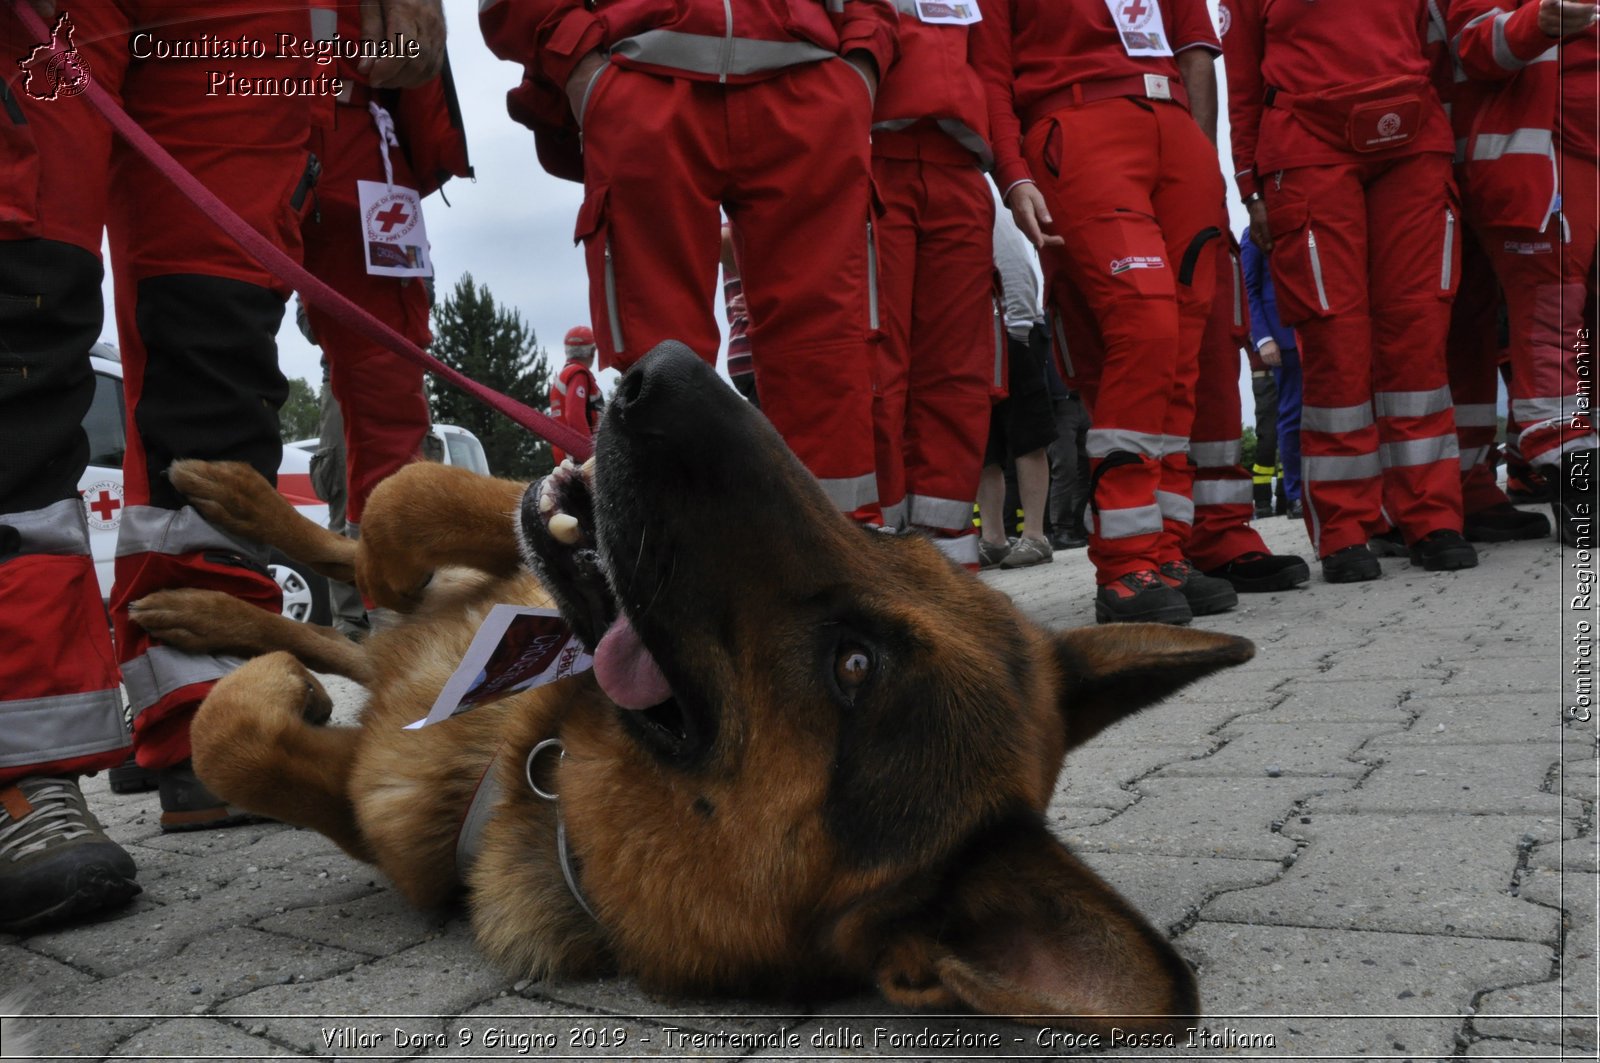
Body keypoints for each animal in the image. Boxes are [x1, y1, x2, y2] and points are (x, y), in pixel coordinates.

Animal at [134, 342, 1248, 1037]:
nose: (663, 370)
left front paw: (264, 687)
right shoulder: (497, 551)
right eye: (895, 540)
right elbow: (405, 504)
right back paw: (215, 556)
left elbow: (232, 733)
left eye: (853, 666)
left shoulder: (383, 820)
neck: (537, 761)